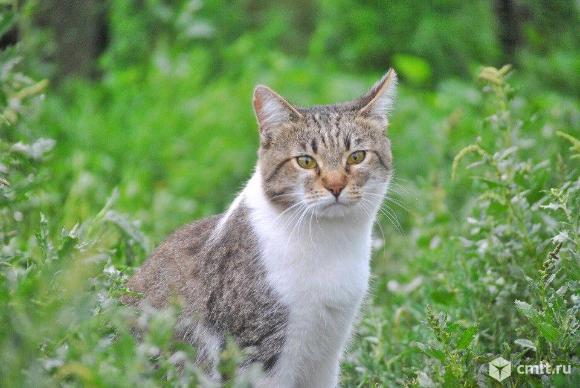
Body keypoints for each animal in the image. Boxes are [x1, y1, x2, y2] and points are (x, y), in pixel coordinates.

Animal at [125, 68, 398, 386]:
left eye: (356, 156)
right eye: (305, 161)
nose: (335, 186)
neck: (330, 241)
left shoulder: (327, 353)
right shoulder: (259, 352)